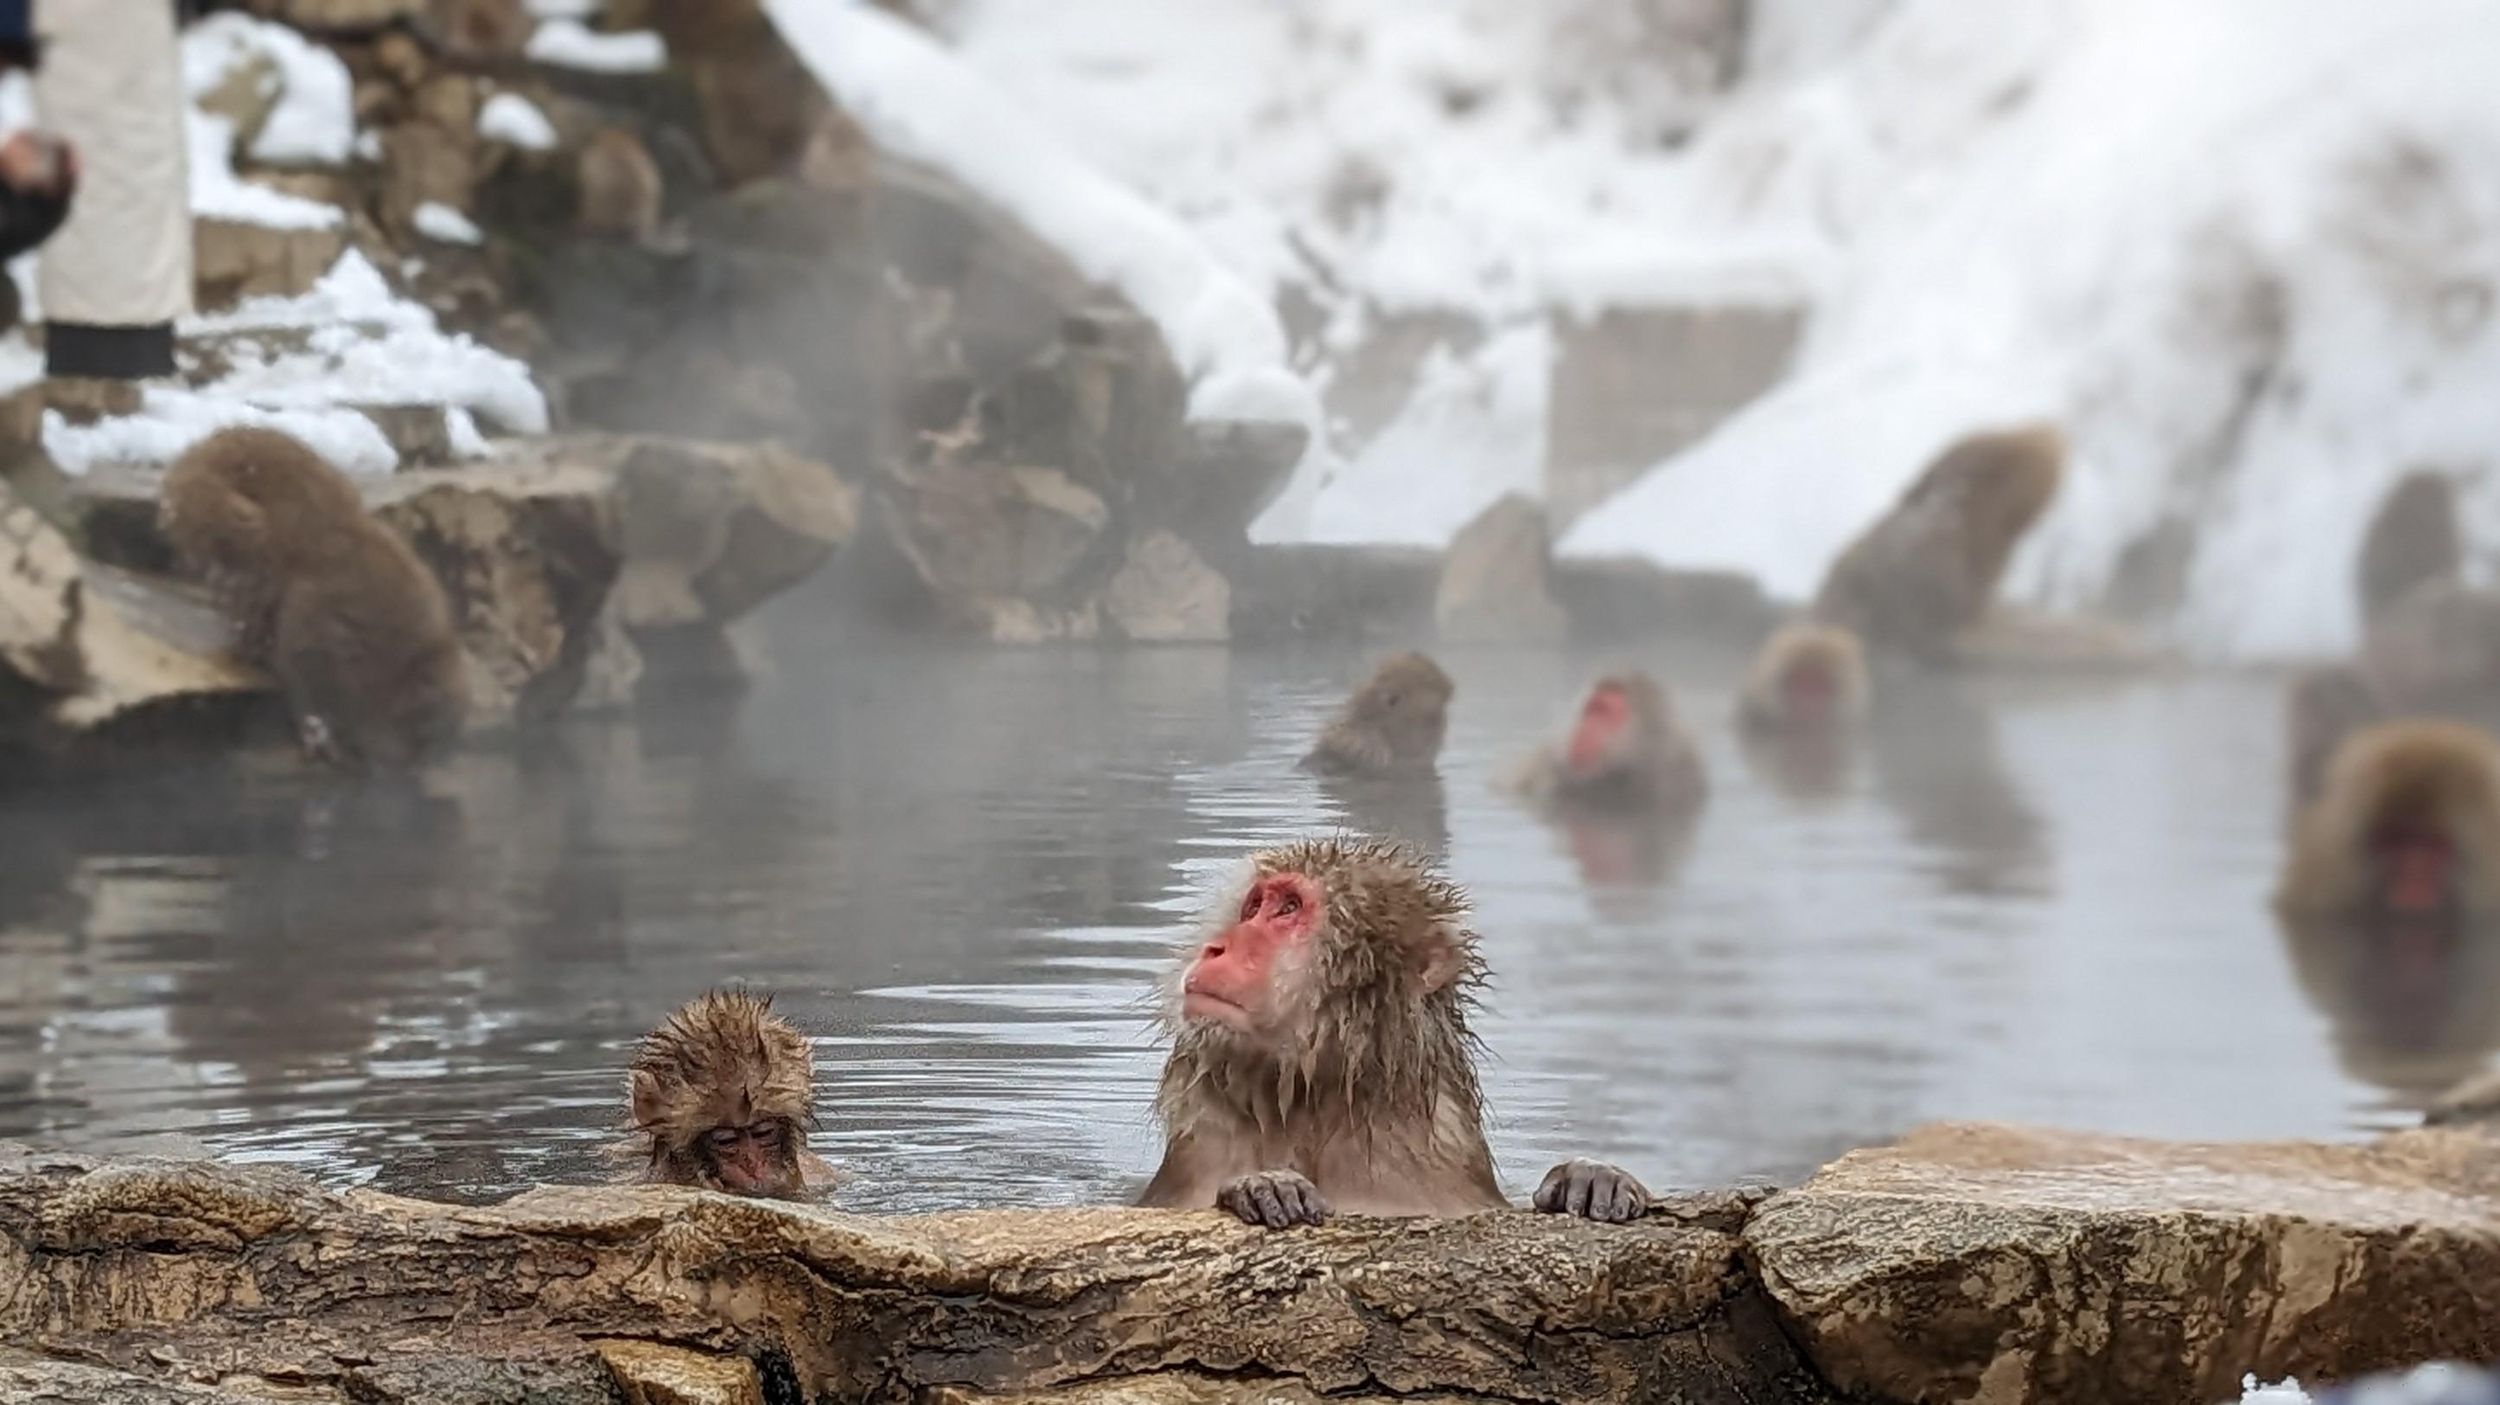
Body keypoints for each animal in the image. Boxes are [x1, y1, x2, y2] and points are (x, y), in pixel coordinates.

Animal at [1136, 835, 1650, 1227]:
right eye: (1253, 907)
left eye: (1288, 908)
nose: (1215, 948)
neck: (1311, 1095)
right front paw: (1263, 1184)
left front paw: (1590, 1177)